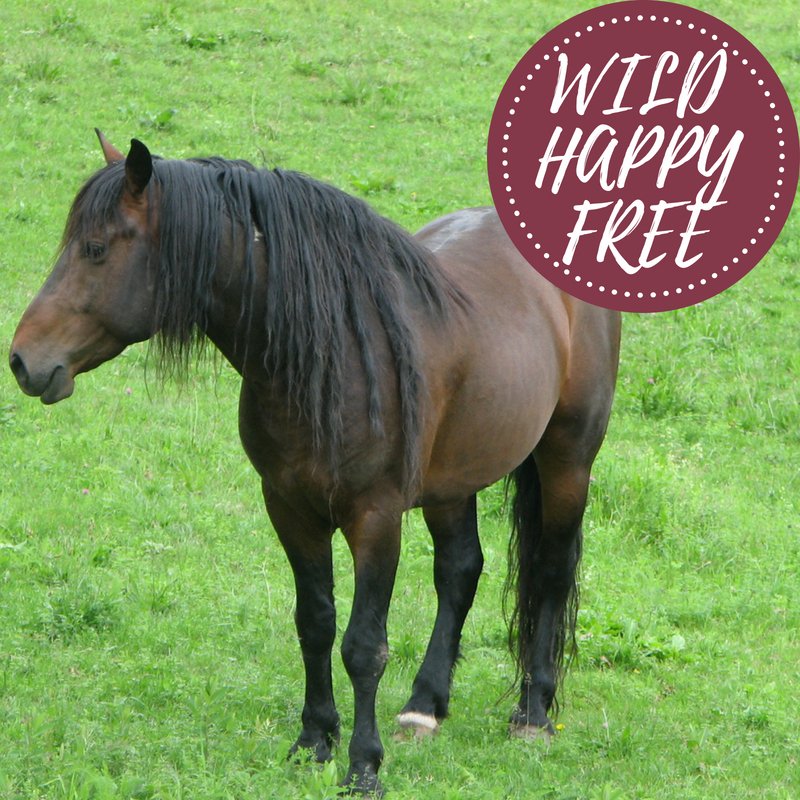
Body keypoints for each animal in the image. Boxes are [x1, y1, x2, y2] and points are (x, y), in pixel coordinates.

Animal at [9, 131, 621, 796]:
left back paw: (533, 714)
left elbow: (363, 645)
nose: (22, 360)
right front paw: (313, 741)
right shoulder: (290, 508)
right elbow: (315, 623)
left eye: (95, 249)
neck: (335, 353)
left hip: (567, 457)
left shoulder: (375, 519)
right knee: (460, 570)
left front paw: (364, 765)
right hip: (452, 481)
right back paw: (424, 706)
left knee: (552, 571)